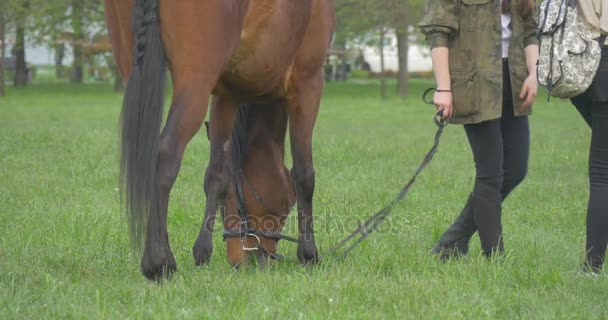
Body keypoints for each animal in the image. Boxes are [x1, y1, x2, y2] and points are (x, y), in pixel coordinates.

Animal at [103, 0, 332, 280]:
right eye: (287, 201)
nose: (251, 260)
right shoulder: (308, 82)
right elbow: (304, 175)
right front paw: (309, 254)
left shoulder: (227, 96)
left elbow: (217, 174)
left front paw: (202, 252)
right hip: (195, 82)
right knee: (166, 153)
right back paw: (159, 262)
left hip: (133, 69)